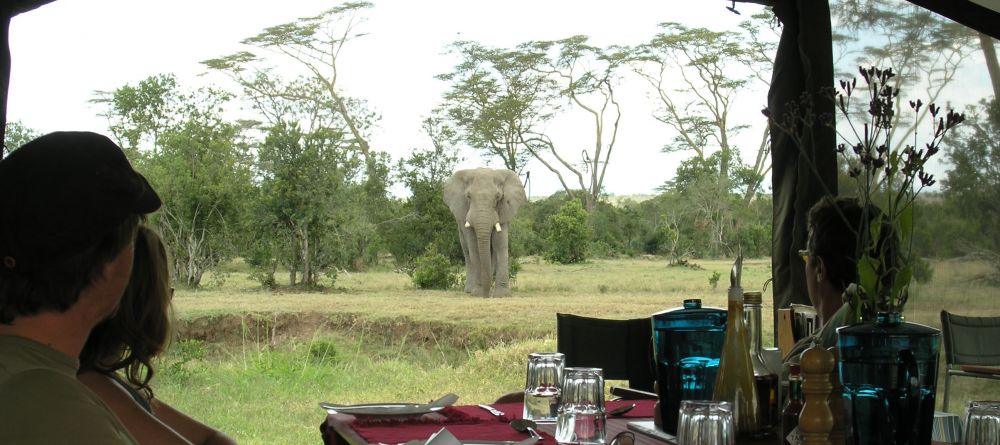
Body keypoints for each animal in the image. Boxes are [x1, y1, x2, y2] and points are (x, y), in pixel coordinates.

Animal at [444, 168, 528, 296]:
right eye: (468, 196)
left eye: (498, 197)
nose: (486, 296)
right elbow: (474, 246)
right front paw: (478, 293)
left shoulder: (503, 211)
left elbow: (500, 244)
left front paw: (501, 295)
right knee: (467, 251)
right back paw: (470, 290)